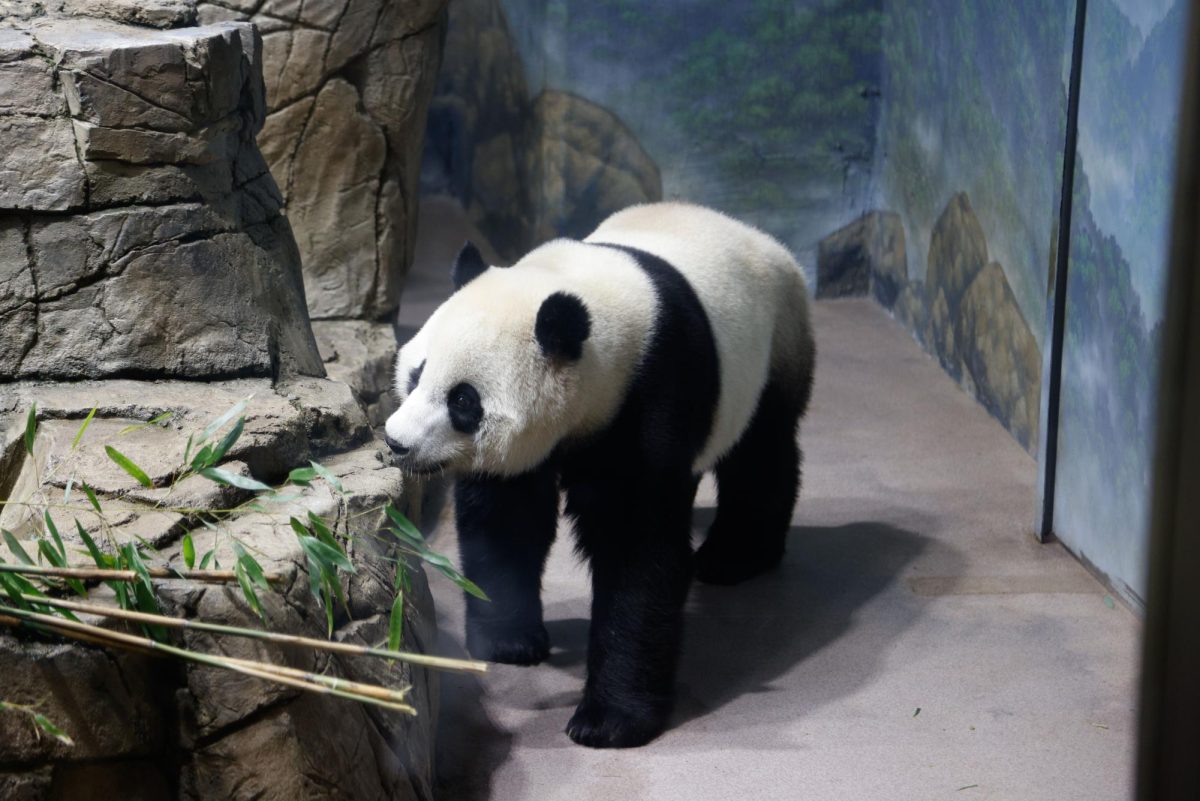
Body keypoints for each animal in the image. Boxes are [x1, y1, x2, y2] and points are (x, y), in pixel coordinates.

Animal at [384, 201, 816, 753]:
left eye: (463, 400)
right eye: (416, 374)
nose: (397, 442)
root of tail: (757, 236)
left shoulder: (653, 394)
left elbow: (638, 552)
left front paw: (609, 720)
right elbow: (506, 522)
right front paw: (509, 640)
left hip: (772, 348)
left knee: (761, 454)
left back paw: (734, 557)